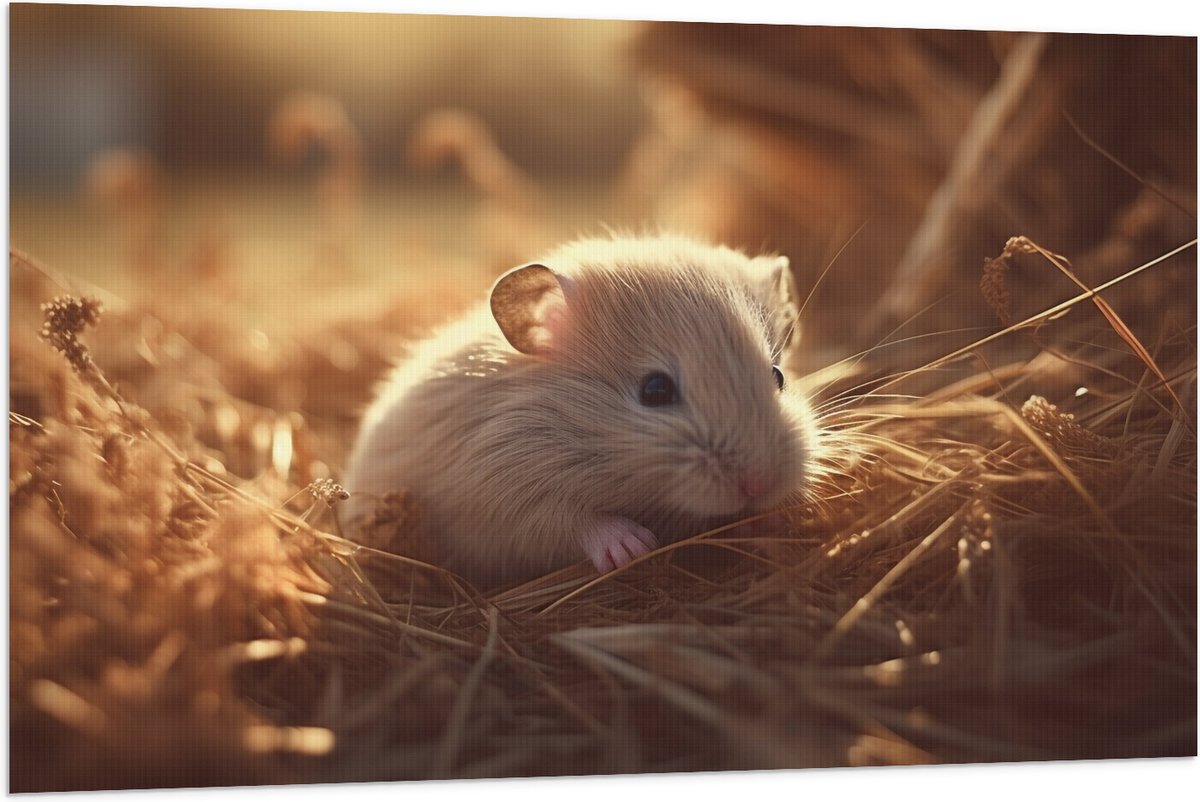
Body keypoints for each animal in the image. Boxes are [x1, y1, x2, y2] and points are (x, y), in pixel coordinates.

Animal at [340, 234, 815, 587]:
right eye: (655, 390)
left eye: (778, 376)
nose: (759, 485)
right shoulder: (501, 498)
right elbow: (573, 520)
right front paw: (635, 548)